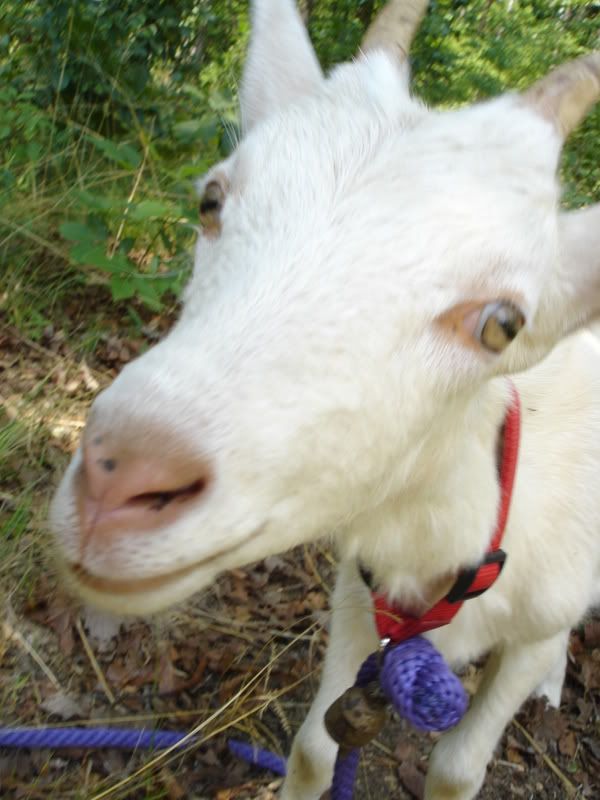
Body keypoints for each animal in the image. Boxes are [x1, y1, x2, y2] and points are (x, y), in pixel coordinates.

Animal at [49, 1, 600, 797]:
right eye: (211, 199)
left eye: (504, 324)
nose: (120, 481)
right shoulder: (359, 595)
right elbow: (314, 746)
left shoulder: (535, 622)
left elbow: (457, 769)